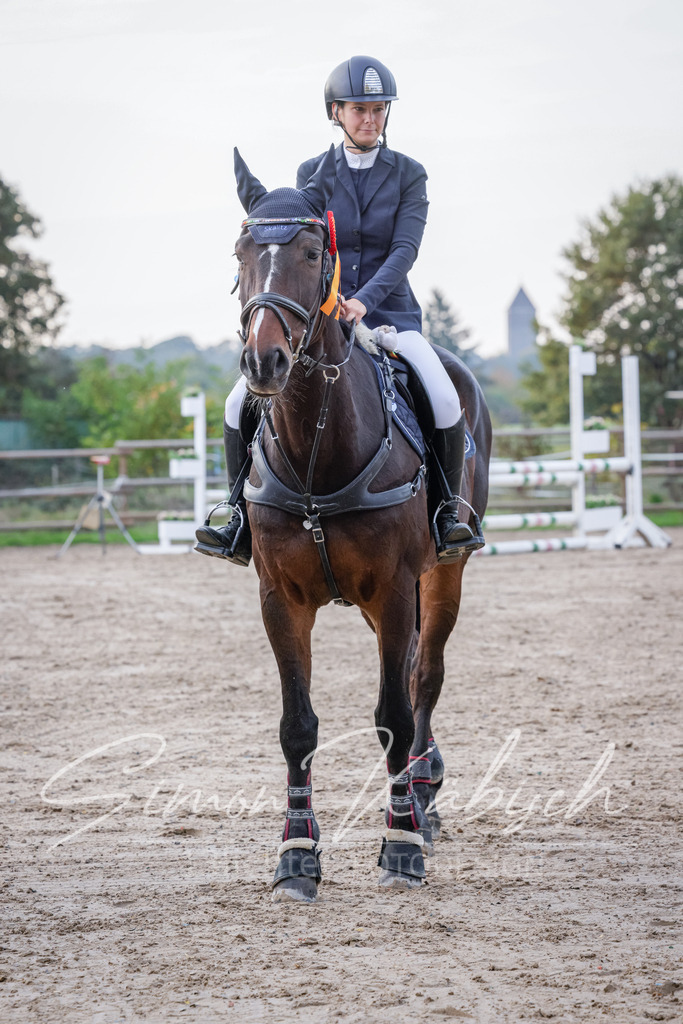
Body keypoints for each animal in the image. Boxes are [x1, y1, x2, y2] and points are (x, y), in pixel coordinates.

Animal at [231, 146, 491, 902]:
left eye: (313, 251)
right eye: (240, 251)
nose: (264, 362)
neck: (318, 447)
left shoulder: (396, 588)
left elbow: (395, 717)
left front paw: (400, 844)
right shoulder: (279, 599)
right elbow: (297, 726)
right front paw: (296, 855)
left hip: (442, 578)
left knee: (424, 677)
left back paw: (423, 800)